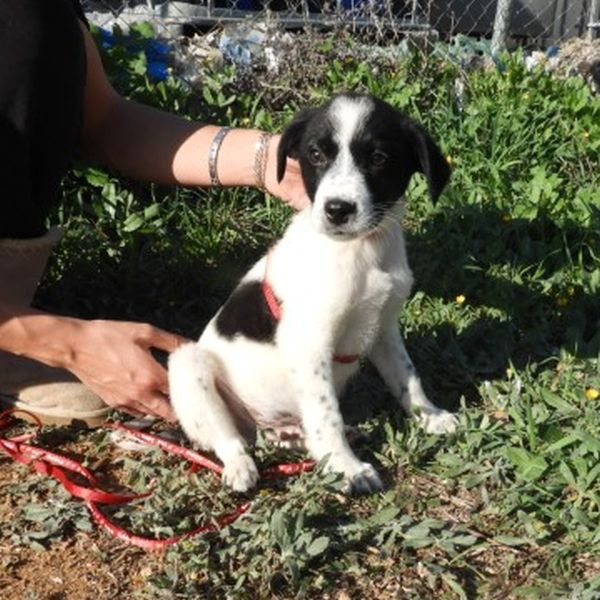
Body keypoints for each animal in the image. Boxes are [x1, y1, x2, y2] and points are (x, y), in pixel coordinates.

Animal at [169, 92, 457, 495]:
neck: (360, 252)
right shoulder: (310, 343)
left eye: (379, 158)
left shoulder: (384, 328)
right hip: (187, 366)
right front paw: (347, 467)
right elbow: (326, 413)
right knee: (229, 439)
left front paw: (429, 416)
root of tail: (260, 425)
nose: (337, 209)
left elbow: (407, 377)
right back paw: (241, 467)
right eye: (316, 154)